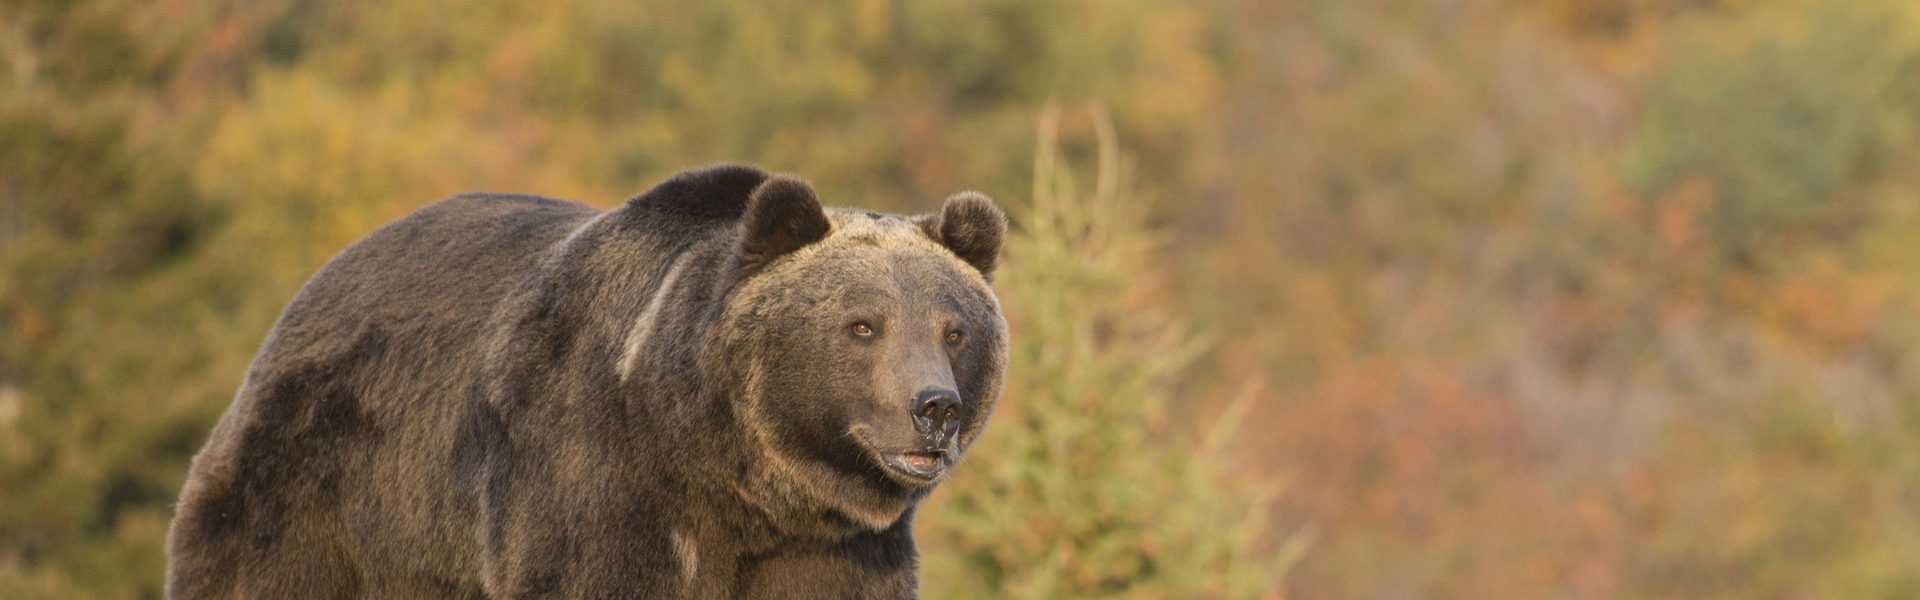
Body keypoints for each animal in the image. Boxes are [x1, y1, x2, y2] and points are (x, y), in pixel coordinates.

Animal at [161, 164, 1021, 600]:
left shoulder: (831, 546)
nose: (934, 408)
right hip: (323, 493)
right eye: (863, 325)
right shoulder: (597, 473)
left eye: (954, 330)